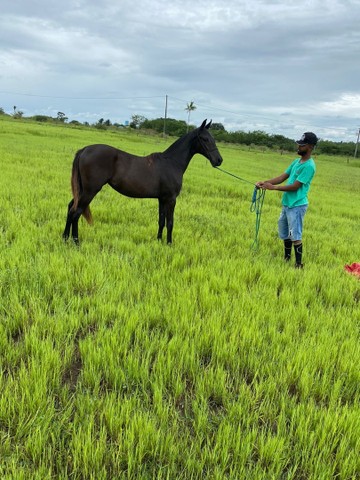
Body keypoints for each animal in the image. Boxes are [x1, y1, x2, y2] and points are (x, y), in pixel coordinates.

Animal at [63, 118, 224, 246]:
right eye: (205, 139)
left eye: (213, 138)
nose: (219, 160)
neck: (171, 162)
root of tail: (84, 149)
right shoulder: (171, 199)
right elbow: (170, 223)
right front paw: (169, 244)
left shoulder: (162, 199)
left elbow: (161, 221)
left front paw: (159, 241)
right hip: (90, 190)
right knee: (76, 212)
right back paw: (76, 242)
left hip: (82, 190)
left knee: (71, 208)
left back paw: (64, 238)